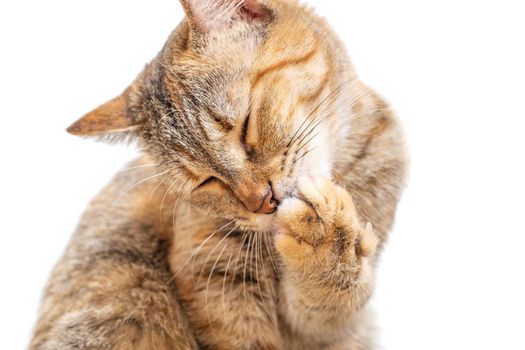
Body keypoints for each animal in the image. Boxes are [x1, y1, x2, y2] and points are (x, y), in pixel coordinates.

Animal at [29, 1, 406, 348]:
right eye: (207, 181)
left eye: (245, 127)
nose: (263, 201)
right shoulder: (213, 282)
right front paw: (325, 237)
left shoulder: (325, 327)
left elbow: (329, 303)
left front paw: (328, 244)